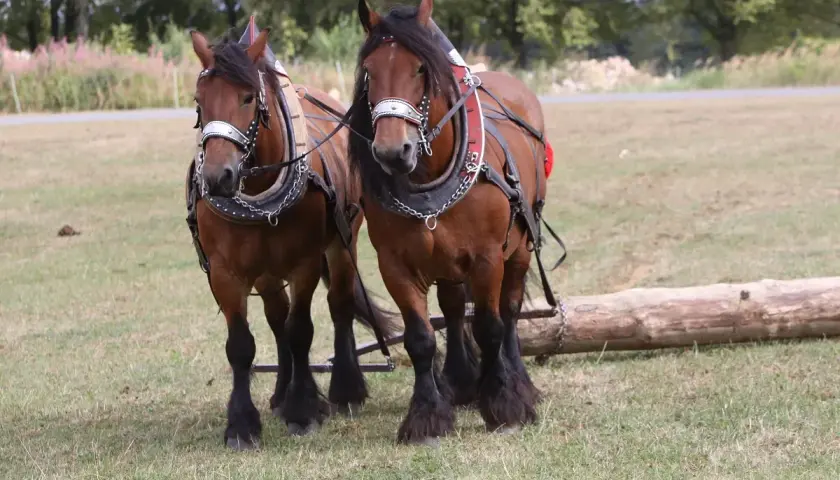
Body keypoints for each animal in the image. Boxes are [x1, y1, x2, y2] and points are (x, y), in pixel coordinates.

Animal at [185, 24, 401, 450]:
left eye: (248, 97)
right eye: (200, 100)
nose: (217, 177)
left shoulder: (304, 263)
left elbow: (301, 331)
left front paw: (303, 411)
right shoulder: (224, 273)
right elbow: (242, 345)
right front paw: (242, 424)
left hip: (342, 243)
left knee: (339, 306)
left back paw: (344, 389)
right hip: (267, 271)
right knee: (275, 317)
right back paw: (281, 392)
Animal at [347, 0, 562, 445]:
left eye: (420, 69)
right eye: (370, 72)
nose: (393, 151)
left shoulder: (487, 259)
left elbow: (490, 326)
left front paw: (506, 405)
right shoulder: (395, 265)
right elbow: (420, 338)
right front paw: (427, 416)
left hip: (519, 248)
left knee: (509, 312)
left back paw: (518, 381)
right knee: (450, 306)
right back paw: (461, 382)